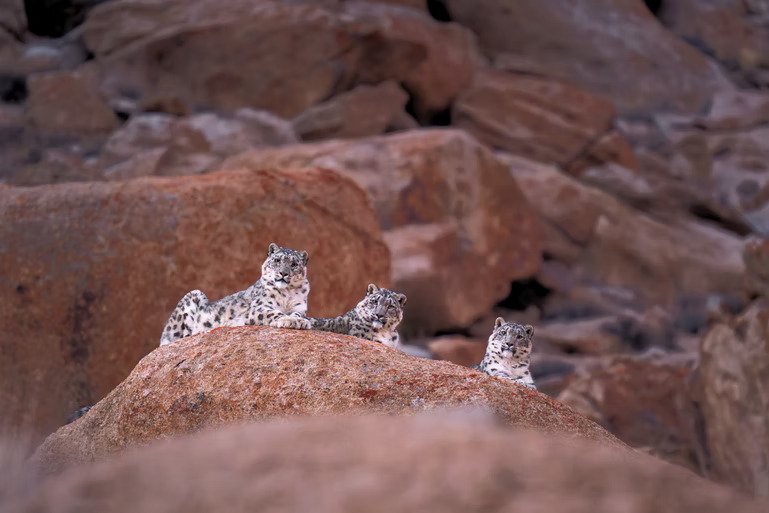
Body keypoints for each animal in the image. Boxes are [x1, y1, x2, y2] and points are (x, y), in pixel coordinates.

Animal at [159, 243, 311, 346]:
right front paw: (290, 320)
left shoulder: (299, 308)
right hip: (194, 296)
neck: (287, 293)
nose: (283, 273)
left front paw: (300, 321)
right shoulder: (260, 307)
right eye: (277, 260)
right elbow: (274, 312)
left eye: (294, 264)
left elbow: (298, 314)